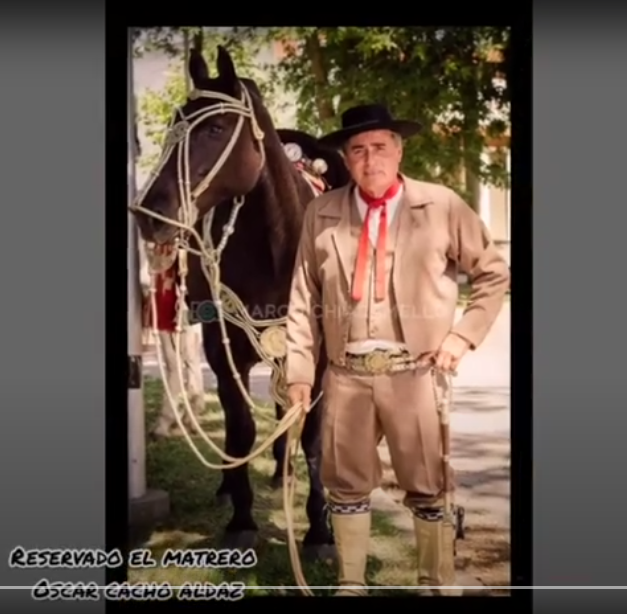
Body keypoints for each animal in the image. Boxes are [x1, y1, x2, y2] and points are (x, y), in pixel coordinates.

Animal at [133, 47, 350, 560]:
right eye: (173, 122)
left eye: (215, 129)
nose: (150, 214)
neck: (277, 251)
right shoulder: (223, 350)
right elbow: (241, 426)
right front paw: (242, 519)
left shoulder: (317, 360)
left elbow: (312, 436)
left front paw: (319, 530)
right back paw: (232, 485)